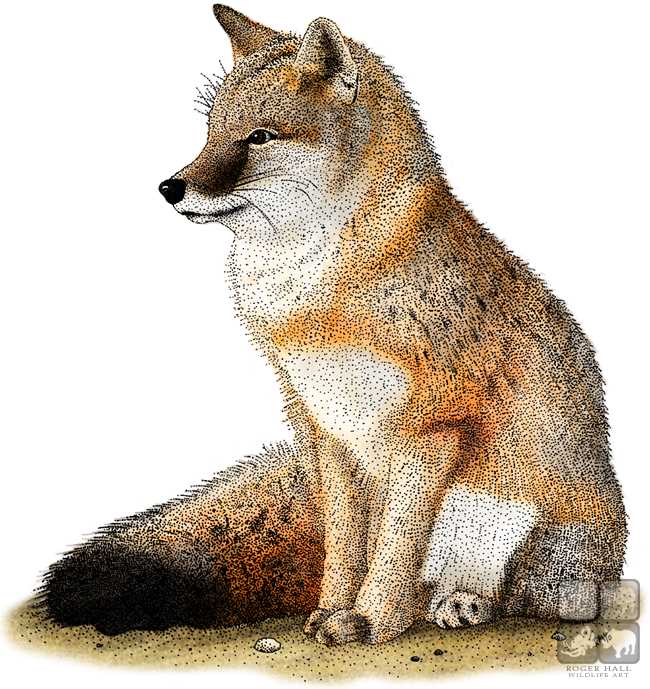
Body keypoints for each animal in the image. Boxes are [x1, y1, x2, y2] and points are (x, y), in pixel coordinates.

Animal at [43, 5, 626, 645]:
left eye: (258, 137)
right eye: (211, 133)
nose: (171, 187)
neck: (314, 300)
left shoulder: (433, 429)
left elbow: (396, 544)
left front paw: (370, 619)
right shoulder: (329, 428)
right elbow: (348, 544)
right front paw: (332, 612)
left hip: (534, 535)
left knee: (542, 594)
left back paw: (468, 601)